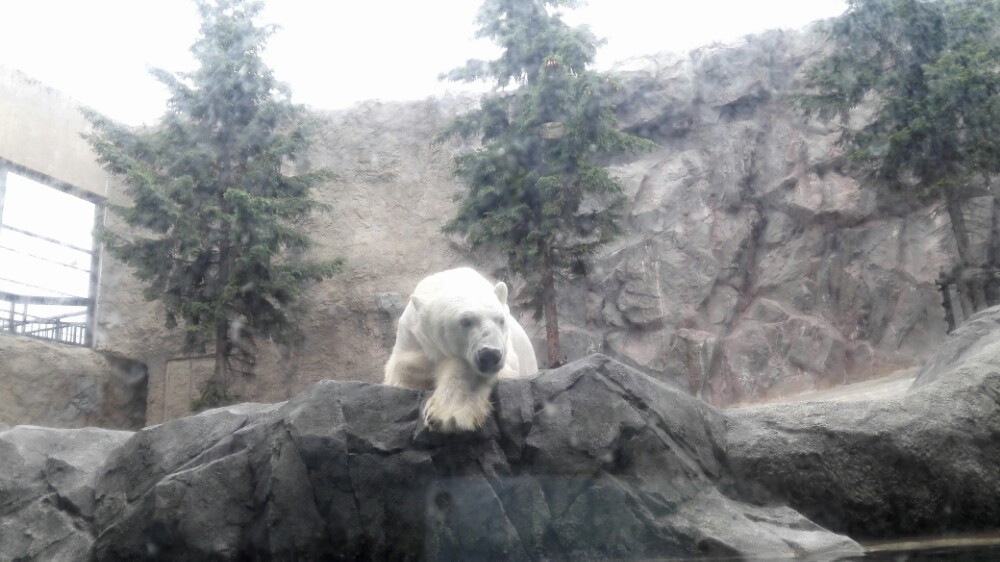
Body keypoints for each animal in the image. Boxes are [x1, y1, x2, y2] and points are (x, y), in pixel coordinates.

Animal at [384, 266, 540, 428]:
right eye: (466, 321)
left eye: (501, 320)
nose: (490, 354)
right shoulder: (411, 333)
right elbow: (401, 366)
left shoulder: (506, 349)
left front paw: (443, 413)